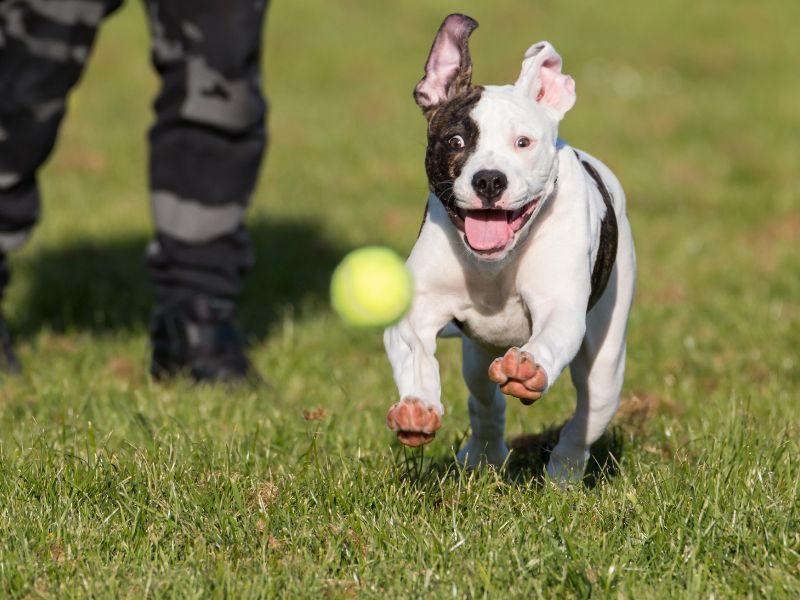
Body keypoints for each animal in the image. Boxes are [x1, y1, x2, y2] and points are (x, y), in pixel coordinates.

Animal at [382, 14, 636, 482]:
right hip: (476, 354)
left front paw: (528, 367)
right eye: (456, 141)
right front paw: (417, 407)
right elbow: (414, 351)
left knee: (588, 415)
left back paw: (564, 474)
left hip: (607, 360)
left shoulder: (560, 307)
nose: (488, 180)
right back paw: (483, 454)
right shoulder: (417, 311)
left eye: (523, 142)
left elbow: (551, 335)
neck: (495, 265)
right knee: (485, 400)